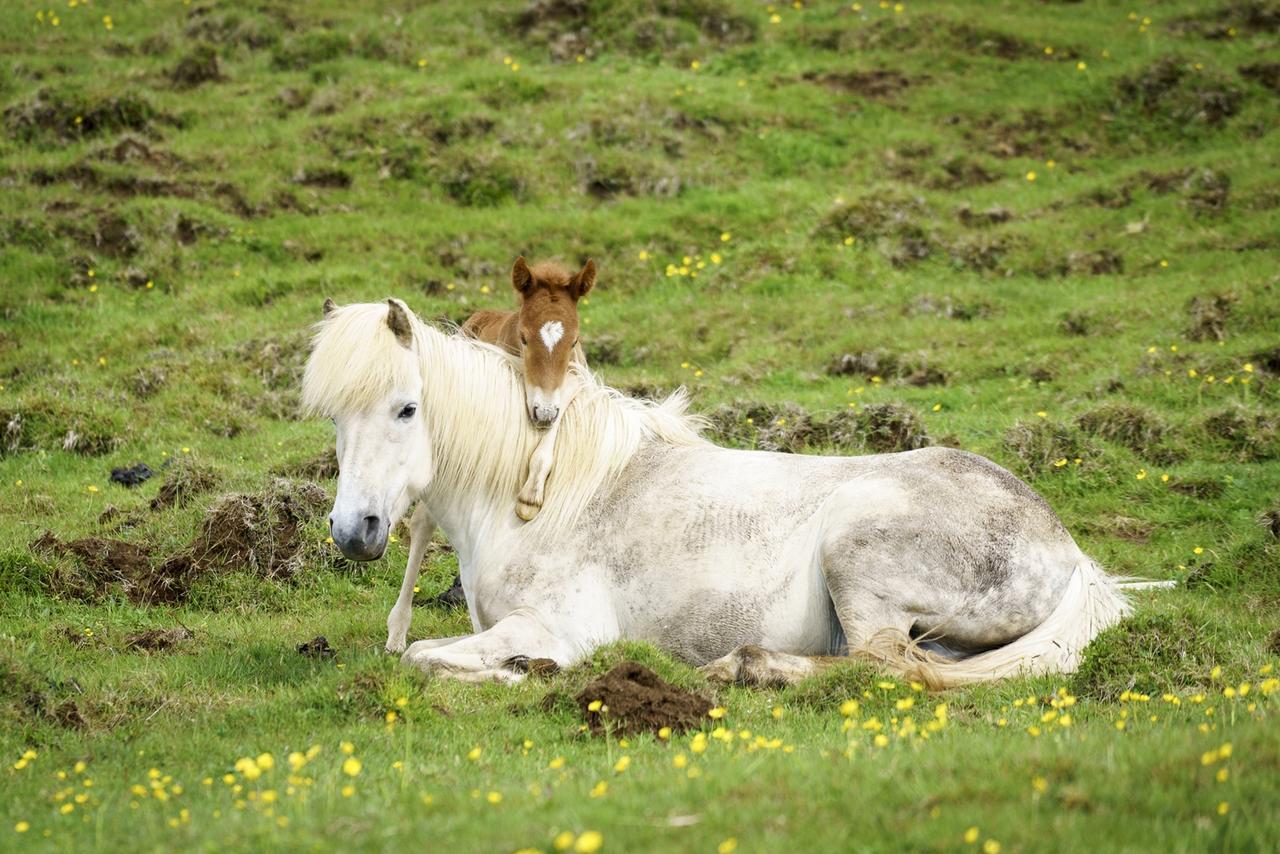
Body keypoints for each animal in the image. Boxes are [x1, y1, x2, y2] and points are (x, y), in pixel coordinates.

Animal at [304, 300, 1136, 686]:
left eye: (406, 408)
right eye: (337, 416)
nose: (354, 531)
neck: (540, 497)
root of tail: (1066, 548)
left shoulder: (555, 626)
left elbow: (424, 658)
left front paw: (527, 671)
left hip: (858, 559)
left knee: (885, 666)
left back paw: (748, 668)